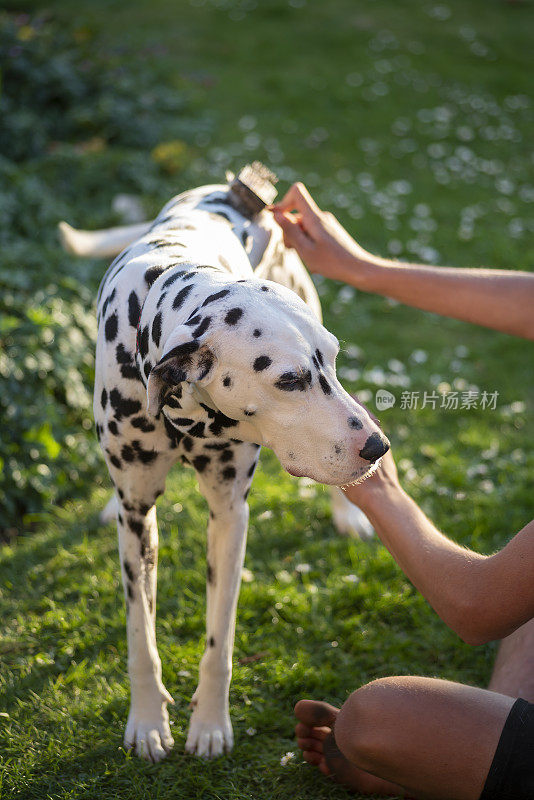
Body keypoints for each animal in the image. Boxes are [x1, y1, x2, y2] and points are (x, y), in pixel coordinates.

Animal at [60, 164, 392, 764]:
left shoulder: (229, 514)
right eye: (290, 379)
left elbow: (220, 640)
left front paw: (210, 723)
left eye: (332, 359)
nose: (378, 447)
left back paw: (348, 513)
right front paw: (147, 721)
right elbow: (140, 635)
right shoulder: (137, 520)